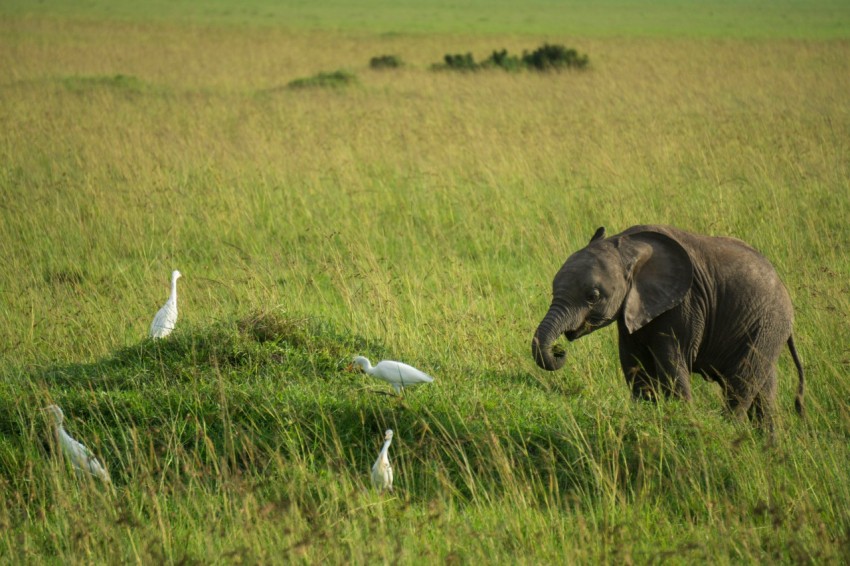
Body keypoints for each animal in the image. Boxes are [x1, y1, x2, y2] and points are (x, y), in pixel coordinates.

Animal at [531, 225, 804, 431]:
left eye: (593, 296)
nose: (559, 350)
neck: (627, 245)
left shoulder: (685, 305)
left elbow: (672, 364)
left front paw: (683, 419)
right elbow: (634, 364)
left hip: (766, 326)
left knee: (741, 383)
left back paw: (728, 432)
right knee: (764, 394)